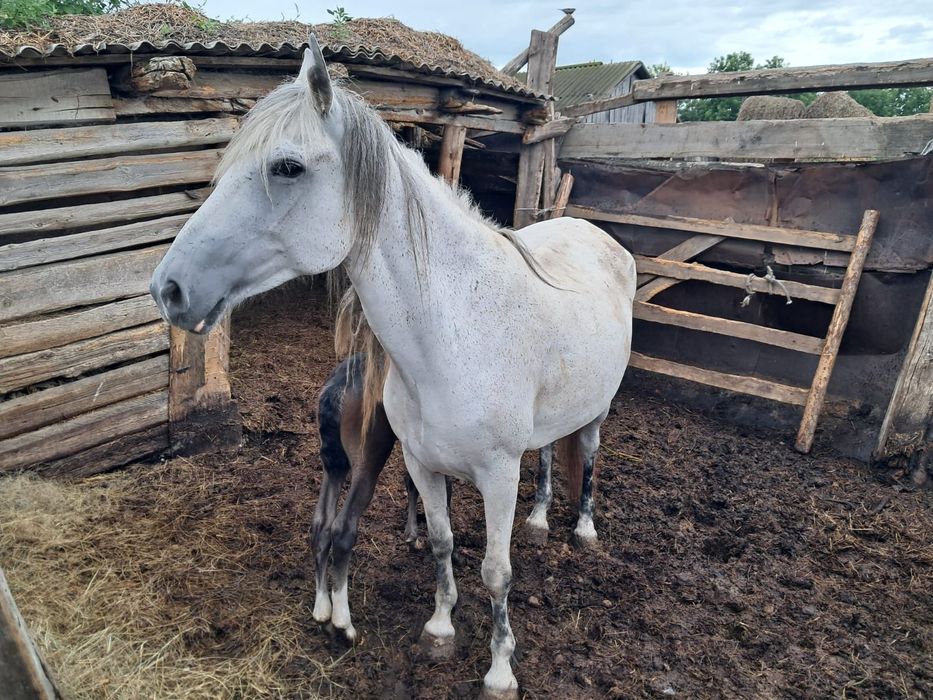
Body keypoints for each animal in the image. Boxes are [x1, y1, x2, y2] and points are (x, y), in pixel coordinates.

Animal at [150, 35, 636, 699]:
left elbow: (496, 571)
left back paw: (582, 529)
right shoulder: (422, 465)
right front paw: (440, 629)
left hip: (598, 410)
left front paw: (500, 669)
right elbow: (441, 542)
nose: (168, 289)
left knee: (585, 454)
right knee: (546, 456)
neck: (453, 334)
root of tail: (598, 235)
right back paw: (539, 519)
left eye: (287, 167)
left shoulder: (496, 474)